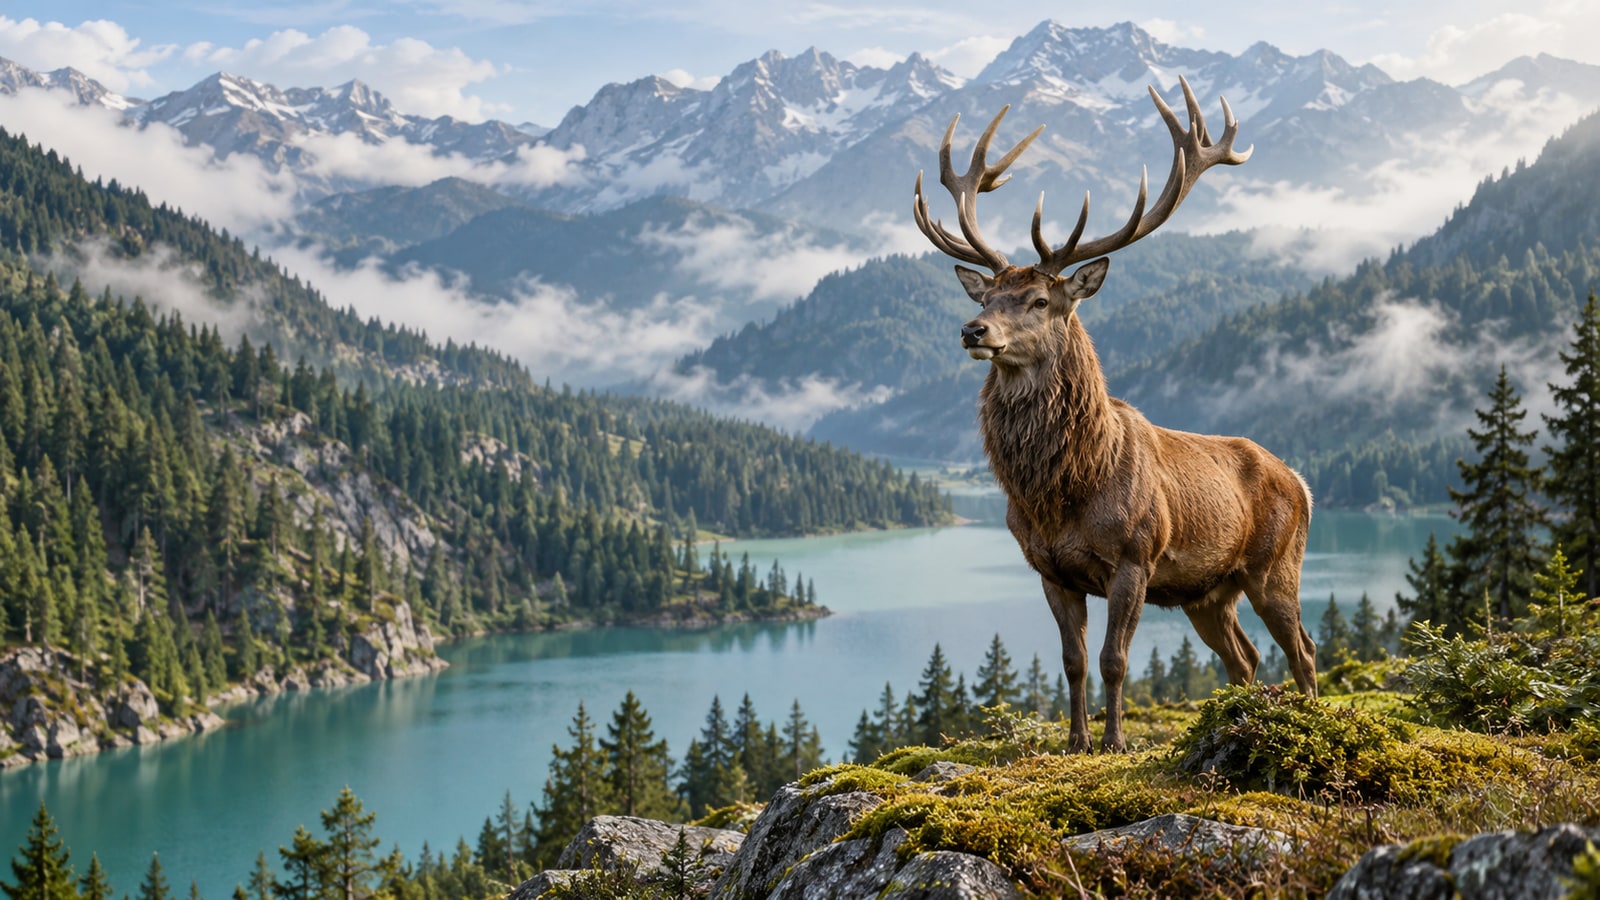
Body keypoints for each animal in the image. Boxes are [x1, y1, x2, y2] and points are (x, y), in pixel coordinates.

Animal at [912, 77, 1318, 752]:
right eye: (989, 294)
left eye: (1039, 299)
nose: (973, 330)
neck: (1062, 491)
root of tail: (1303, 482)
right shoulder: (1050, 570)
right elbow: (1073, 661)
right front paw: (1077, 743)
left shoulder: (1135, 557)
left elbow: (1113, 660)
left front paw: (1115, 743)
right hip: (1207, 593)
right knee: (1245, 656)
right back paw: (1239, 716)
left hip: (1275, 565)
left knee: (1303, 649)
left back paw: (1313, 719)